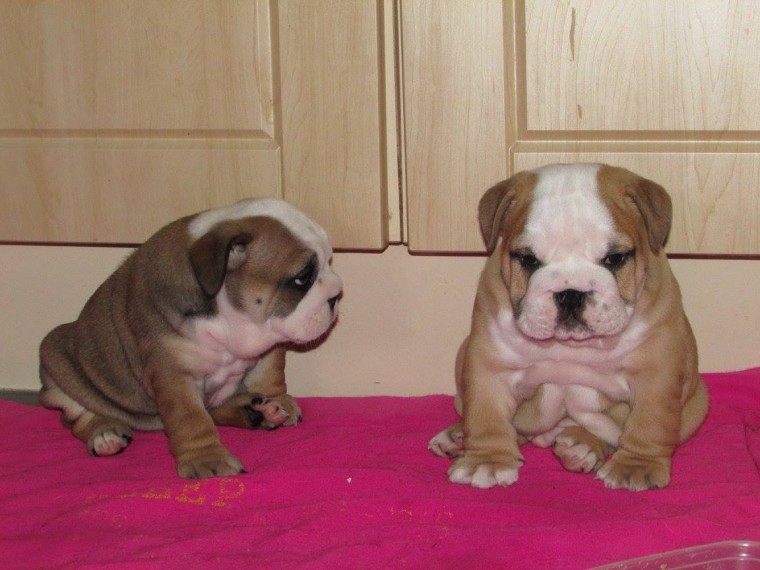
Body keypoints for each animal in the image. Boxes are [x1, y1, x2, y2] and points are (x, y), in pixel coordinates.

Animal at [38, 197, 342, 478]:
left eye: (329, 260)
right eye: (302, 277)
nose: (337, 294)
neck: (228, 312)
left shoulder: (269, 339)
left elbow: (269, 375)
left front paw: (280, 399)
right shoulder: (174, 374)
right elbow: (191, 419)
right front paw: (206, 459)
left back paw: (256, 410)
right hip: (57, 362)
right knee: (78, 416)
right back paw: (104, 433)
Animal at [430, 161, 708, 488]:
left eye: (615, 258)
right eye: (528, 260)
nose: (571, 293)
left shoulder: (655, 373)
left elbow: (649, 424)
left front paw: (636, 466)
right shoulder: (490, 365)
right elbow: (486, 416)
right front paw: (486, 460)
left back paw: (581, 445)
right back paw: (457, 435)